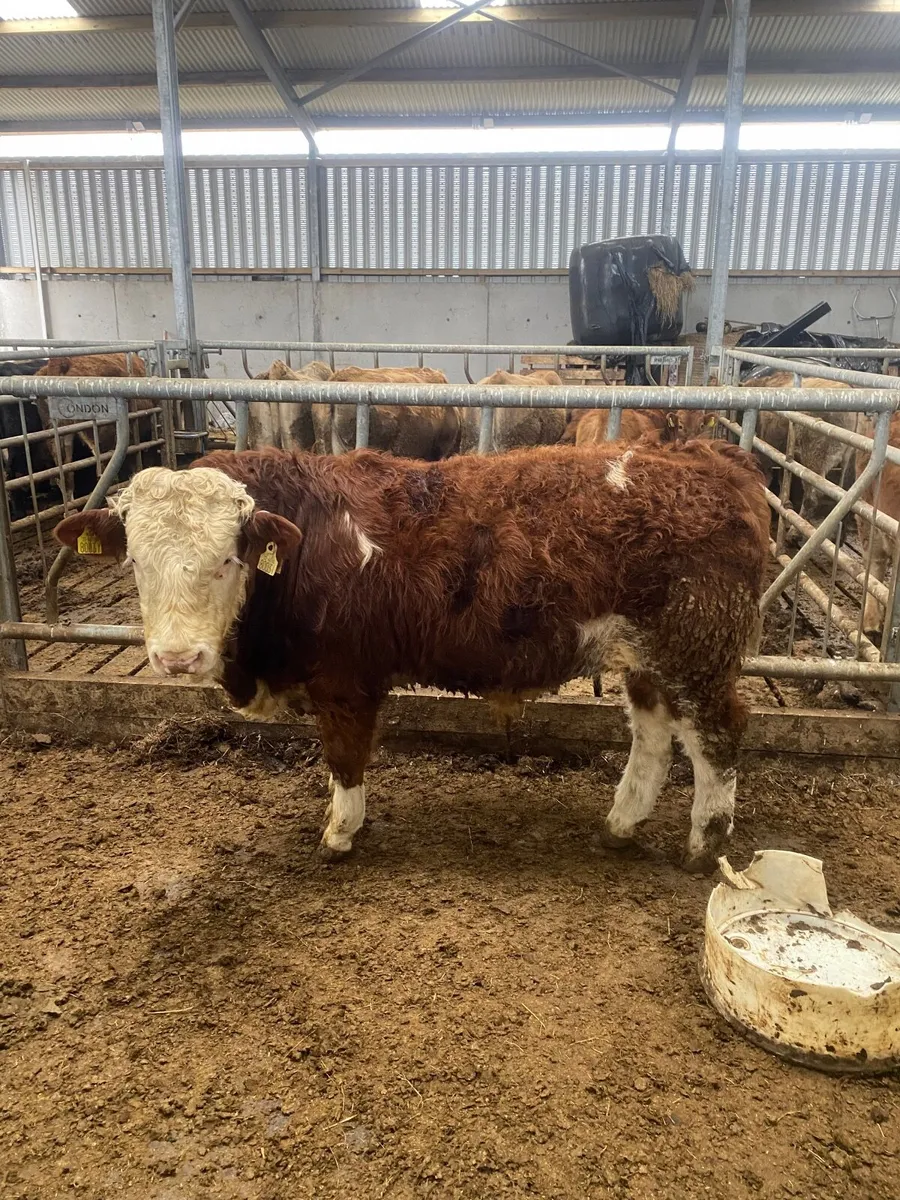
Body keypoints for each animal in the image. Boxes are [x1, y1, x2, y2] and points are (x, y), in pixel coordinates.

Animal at [55, 440, 770, 874]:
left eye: (228, 558)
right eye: (134, 562)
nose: (178, 658)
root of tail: (710, 458)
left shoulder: (344, 679)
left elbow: (345, 759)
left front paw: (340, 832)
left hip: (697, 649)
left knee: (718, 736)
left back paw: (705, 845)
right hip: (650, 657)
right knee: (653, 733)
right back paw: (620, 824)